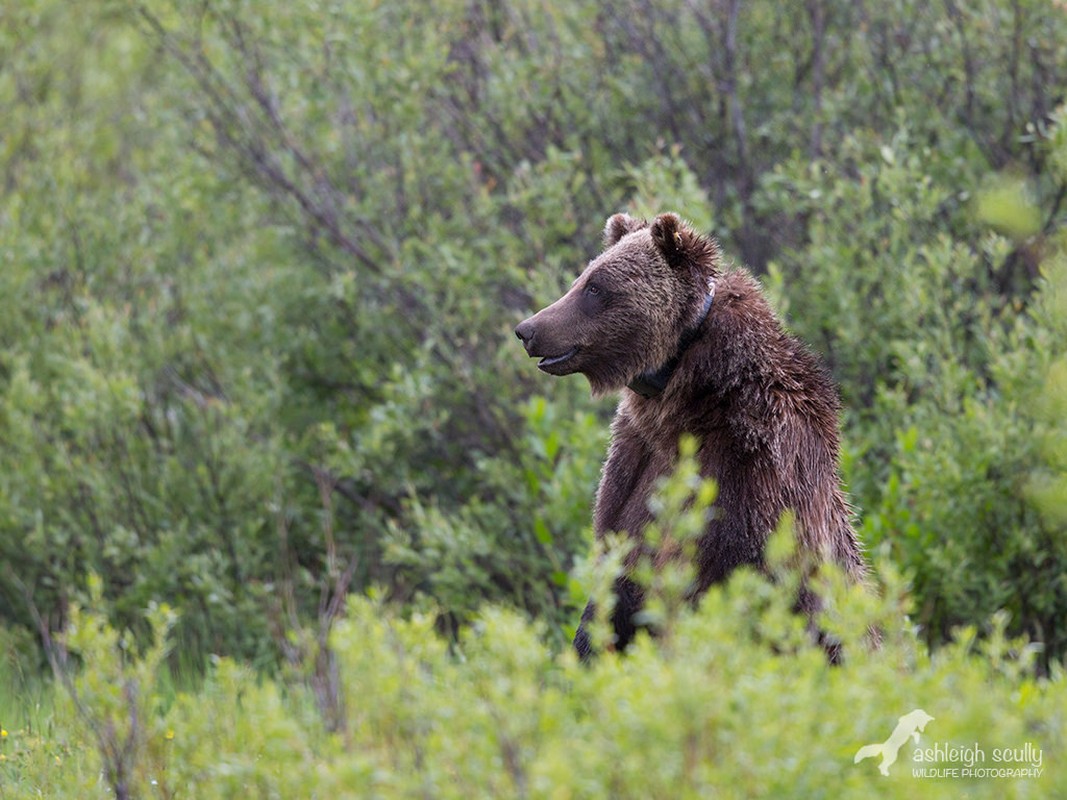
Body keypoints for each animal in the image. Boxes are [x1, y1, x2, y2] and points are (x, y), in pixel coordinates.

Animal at [514, 211, 866, 657]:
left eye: (595, 286)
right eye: (582, 278)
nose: (527, 329)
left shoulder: (748, 468)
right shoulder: (634, 463)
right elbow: (615, 575)